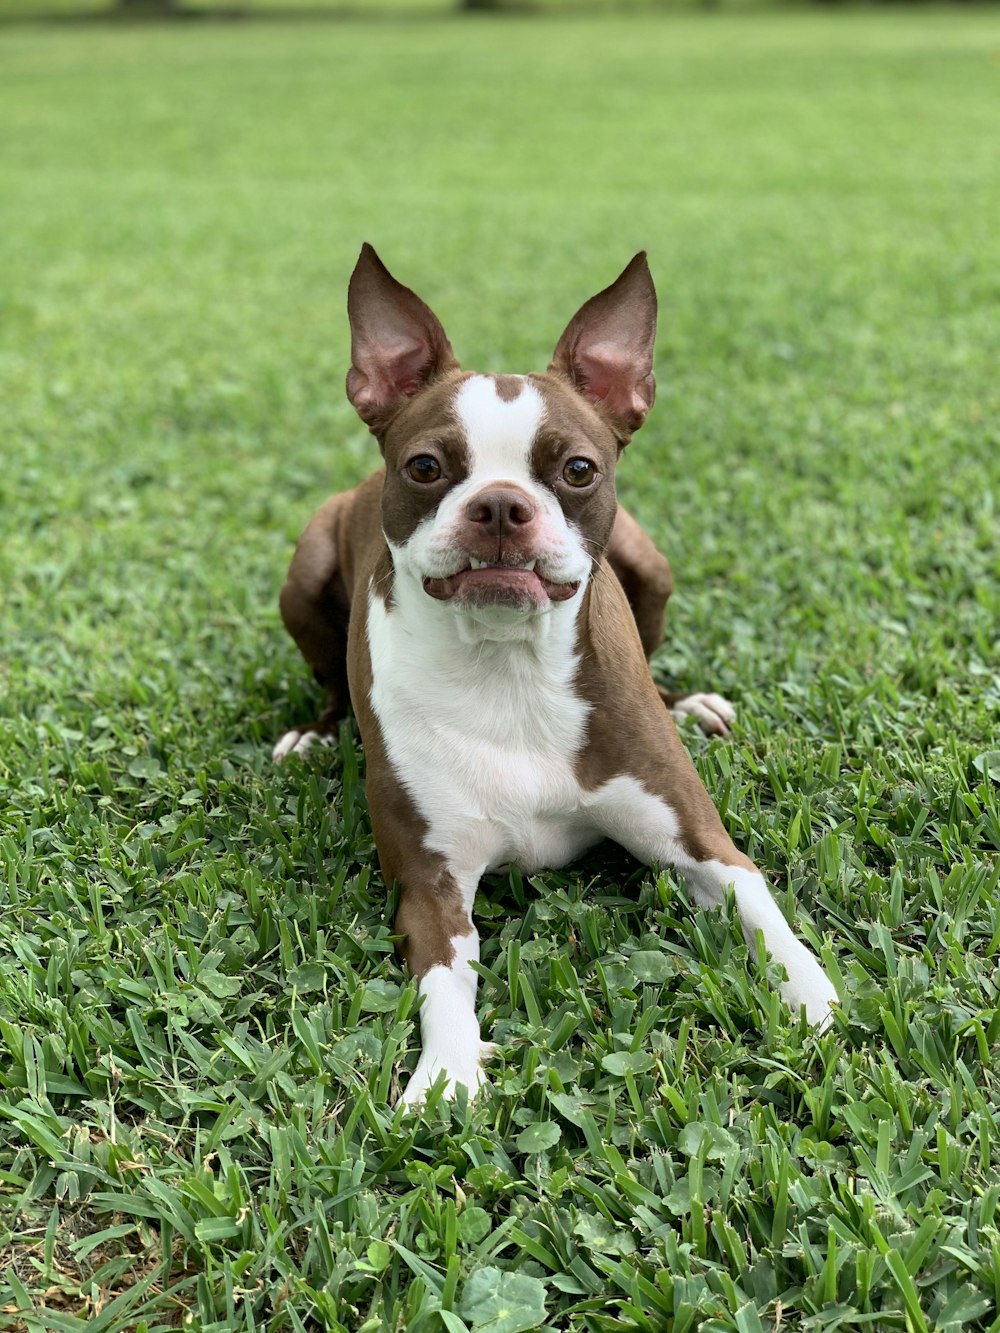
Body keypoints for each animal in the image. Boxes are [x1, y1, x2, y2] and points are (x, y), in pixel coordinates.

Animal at [274, 245, 837, 1109]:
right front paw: (447, 1072)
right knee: (330, 679)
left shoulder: (700, 841)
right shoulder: (431, 882)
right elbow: (446, 981)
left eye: (577, 469)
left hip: (648, 560)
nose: (502, 505)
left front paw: (813, 996)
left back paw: (691, 702)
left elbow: (762, 909)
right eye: (426, 466)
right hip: (303, 569)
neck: (509, 665)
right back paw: (314, 733)